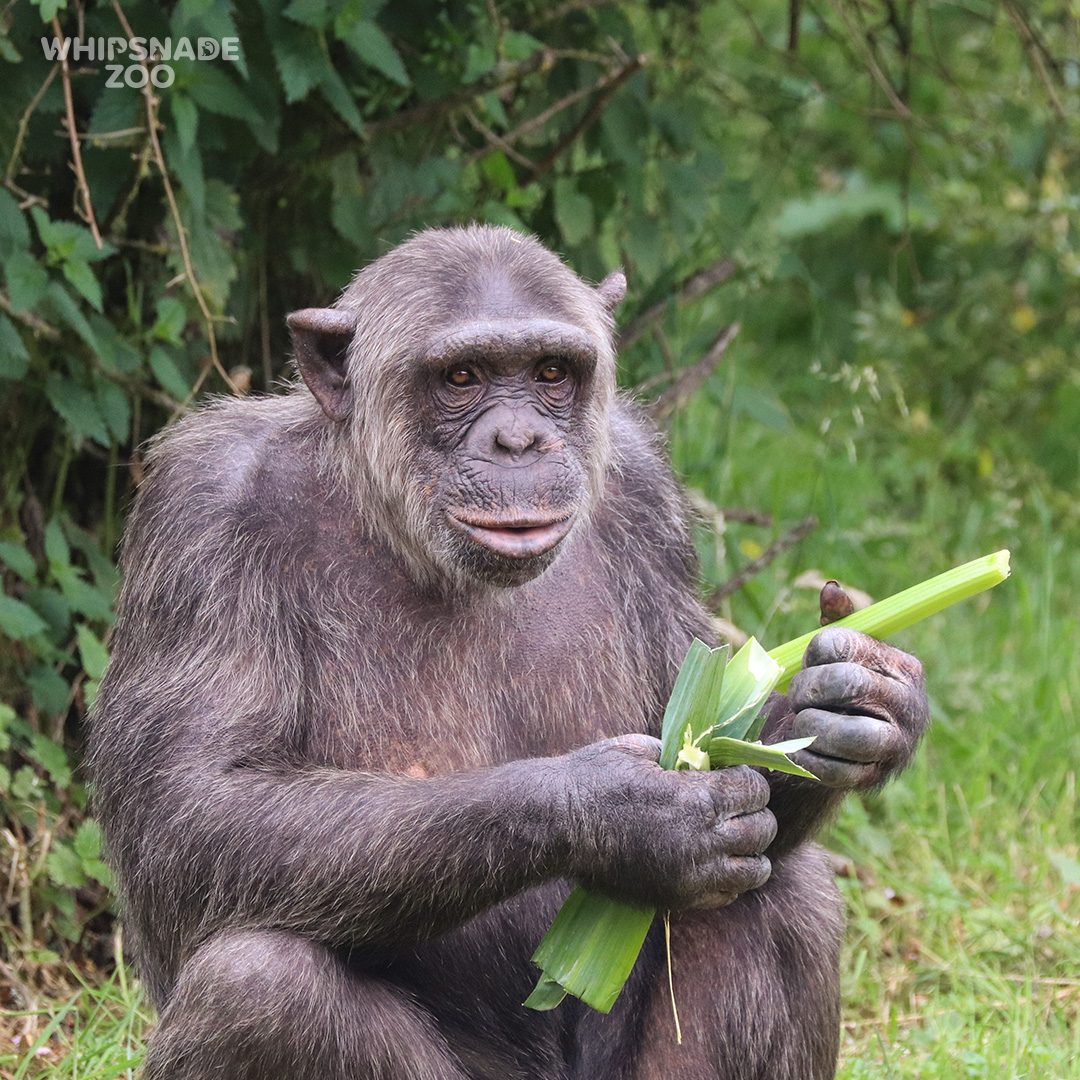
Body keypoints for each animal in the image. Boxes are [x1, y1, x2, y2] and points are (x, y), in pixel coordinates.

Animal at [89, 225, 928, 1080]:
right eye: (461, 377)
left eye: (551, 371)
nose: (519, 440)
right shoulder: (203, 516)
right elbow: (195, 810)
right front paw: (625, 812)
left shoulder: (646, 489)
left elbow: (716, 722)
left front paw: (857, 695)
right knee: (258, 989)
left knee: (792, 898)